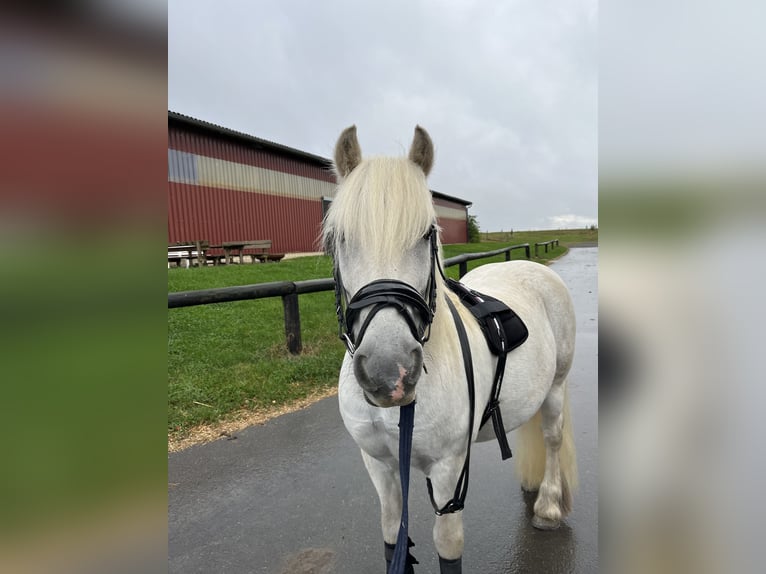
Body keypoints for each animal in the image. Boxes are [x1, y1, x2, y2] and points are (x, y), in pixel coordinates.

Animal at [320, 127, 580, 574]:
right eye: (340, 237)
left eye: (427, 233)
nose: (389, 372)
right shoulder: (380, 465)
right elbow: (392, 535)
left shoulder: (449, 471)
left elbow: (448, 544)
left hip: (555, 388)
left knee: (551, 438)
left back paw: (547, 505)